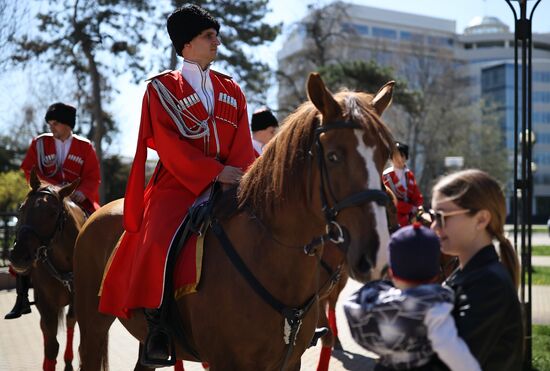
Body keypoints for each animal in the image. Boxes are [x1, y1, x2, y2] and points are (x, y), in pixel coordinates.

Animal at [7, 169, 86, 371]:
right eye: (21, 208)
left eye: (53, 213)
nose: (18, 256)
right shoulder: (45, 302)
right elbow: (51, 345)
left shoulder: (77, 301)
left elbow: (71, 323)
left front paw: (69, 360)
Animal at [75, 73, 398, 371]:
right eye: (333, 156)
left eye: (385, 155)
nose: (376, 254)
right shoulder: (224, 361)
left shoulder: (290, 362)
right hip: (92, 323)